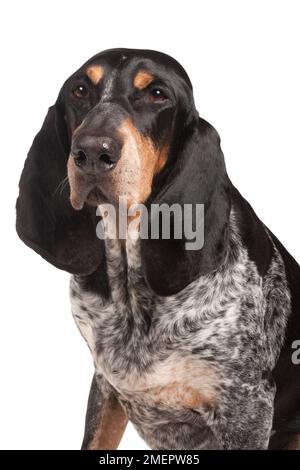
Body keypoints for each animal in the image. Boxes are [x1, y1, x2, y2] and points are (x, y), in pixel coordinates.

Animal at [15, 49, 300, 450]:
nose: (91, 150)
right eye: (80, 90)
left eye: (157, 94)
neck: (132, 293)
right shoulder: (106, 384)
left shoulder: (246, 408)